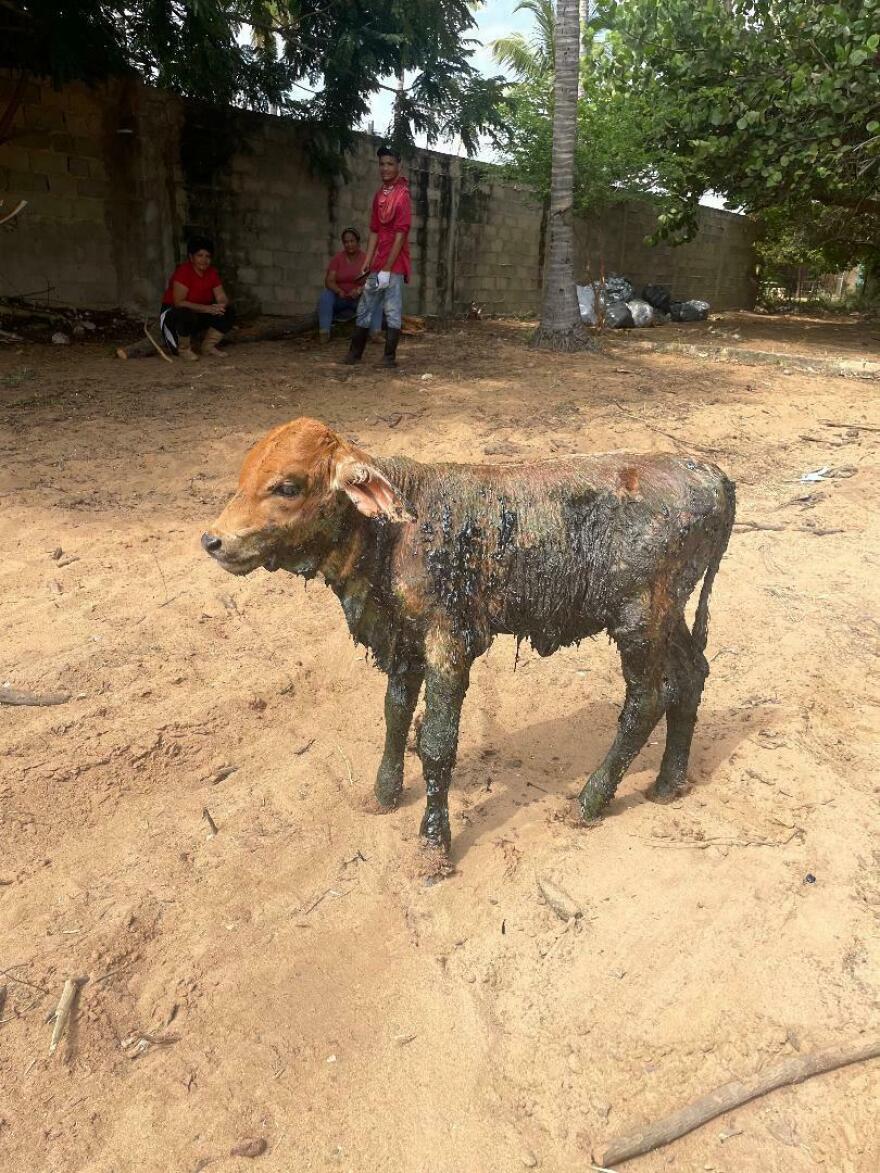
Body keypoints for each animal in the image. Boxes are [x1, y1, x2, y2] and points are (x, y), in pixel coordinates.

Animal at [202, 419, 732, 853]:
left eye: (287, 486)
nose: (213, 540)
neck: (396, 534)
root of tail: (711, 474)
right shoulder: (404, 639)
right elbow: (396, 714)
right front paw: (384, 793)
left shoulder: (449, 639)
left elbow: (438, 741)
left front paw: (434, 844)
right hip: (669, 615)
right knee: (692, 675)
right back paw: (668, 782)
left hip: (640, 620)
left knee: (648, 700)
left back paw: (590, 801)